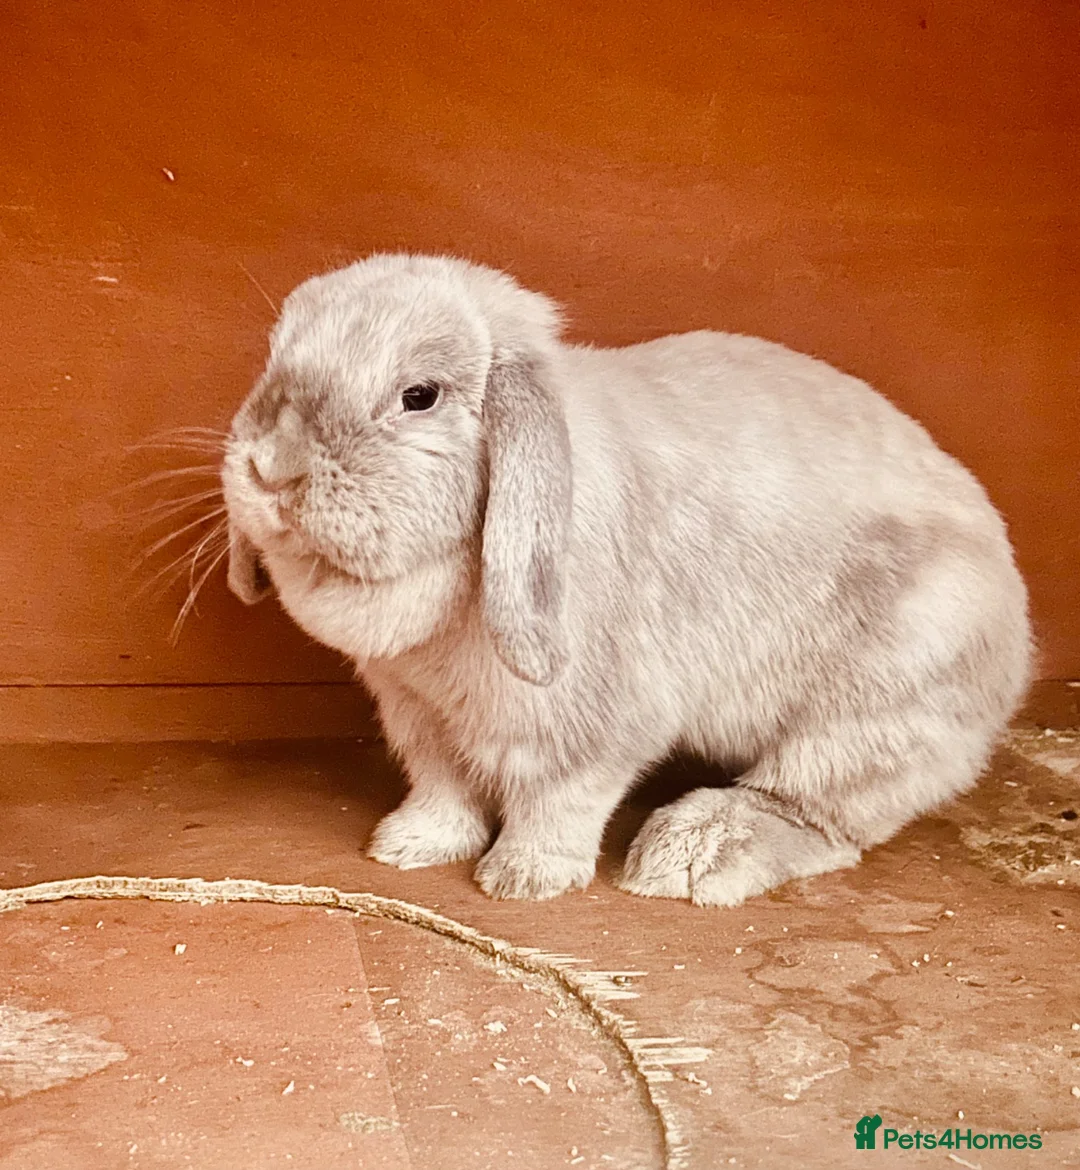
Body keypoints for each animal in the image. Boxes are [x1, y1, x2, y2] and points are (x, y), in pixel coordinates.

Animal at [220, 253, 1032, 906]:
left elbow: (558, 801)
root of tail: (1017, 646)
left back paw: (691, 856)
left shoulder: (597, 722)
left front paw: (524, 880)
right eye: (273, 362)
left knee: (819, 812)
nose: (270, 468)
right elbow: (443, 787)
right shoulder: (418, 715)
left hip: (881, 703)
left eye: (420, 395)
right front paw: (409, 847)